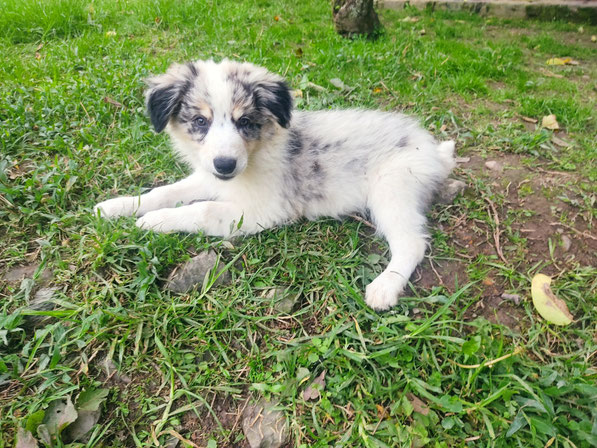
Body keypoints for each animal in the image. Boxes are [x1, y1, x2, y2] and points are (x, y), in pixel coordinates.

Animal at [95, 59, 454, 310]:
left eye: (245, 122)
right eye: (200, 121)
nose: (225, 165)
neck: (256, 154)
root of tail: (431, 149)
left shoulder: (264, 209)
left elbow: (202, 210)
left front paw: (154, 221)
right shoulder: (210, 178)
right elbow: (166, 191)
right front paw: (116, 206)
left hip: (391, 189)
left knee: (411, 243)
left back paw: (384, 287)